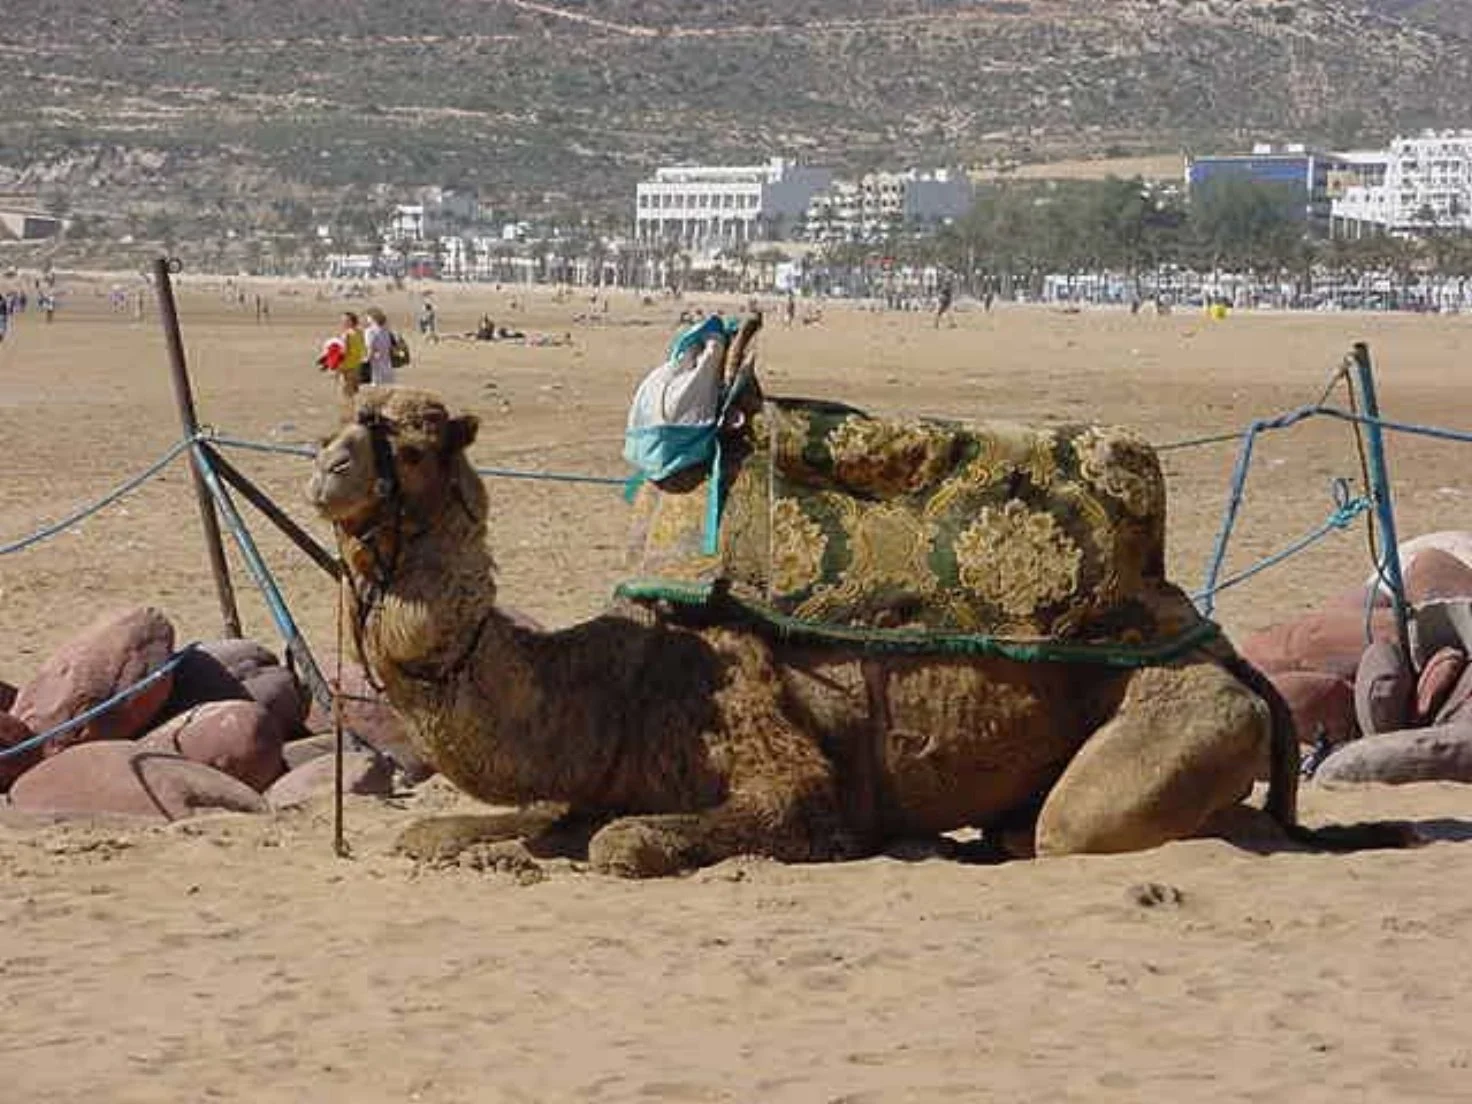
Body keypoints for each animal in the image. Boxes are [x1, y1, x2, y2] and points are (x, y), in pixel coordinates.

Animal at [308, 386, 1410, 877]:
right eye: (342, 421)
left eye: (411, 444)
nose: (326, 468)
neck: (613, 678)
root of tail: (1228, 655)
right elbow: (442, 830)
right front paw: (482, 843)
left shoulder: (776, 762)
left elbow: (630, 841)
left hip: (1177, 713)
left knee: (1094, 826)